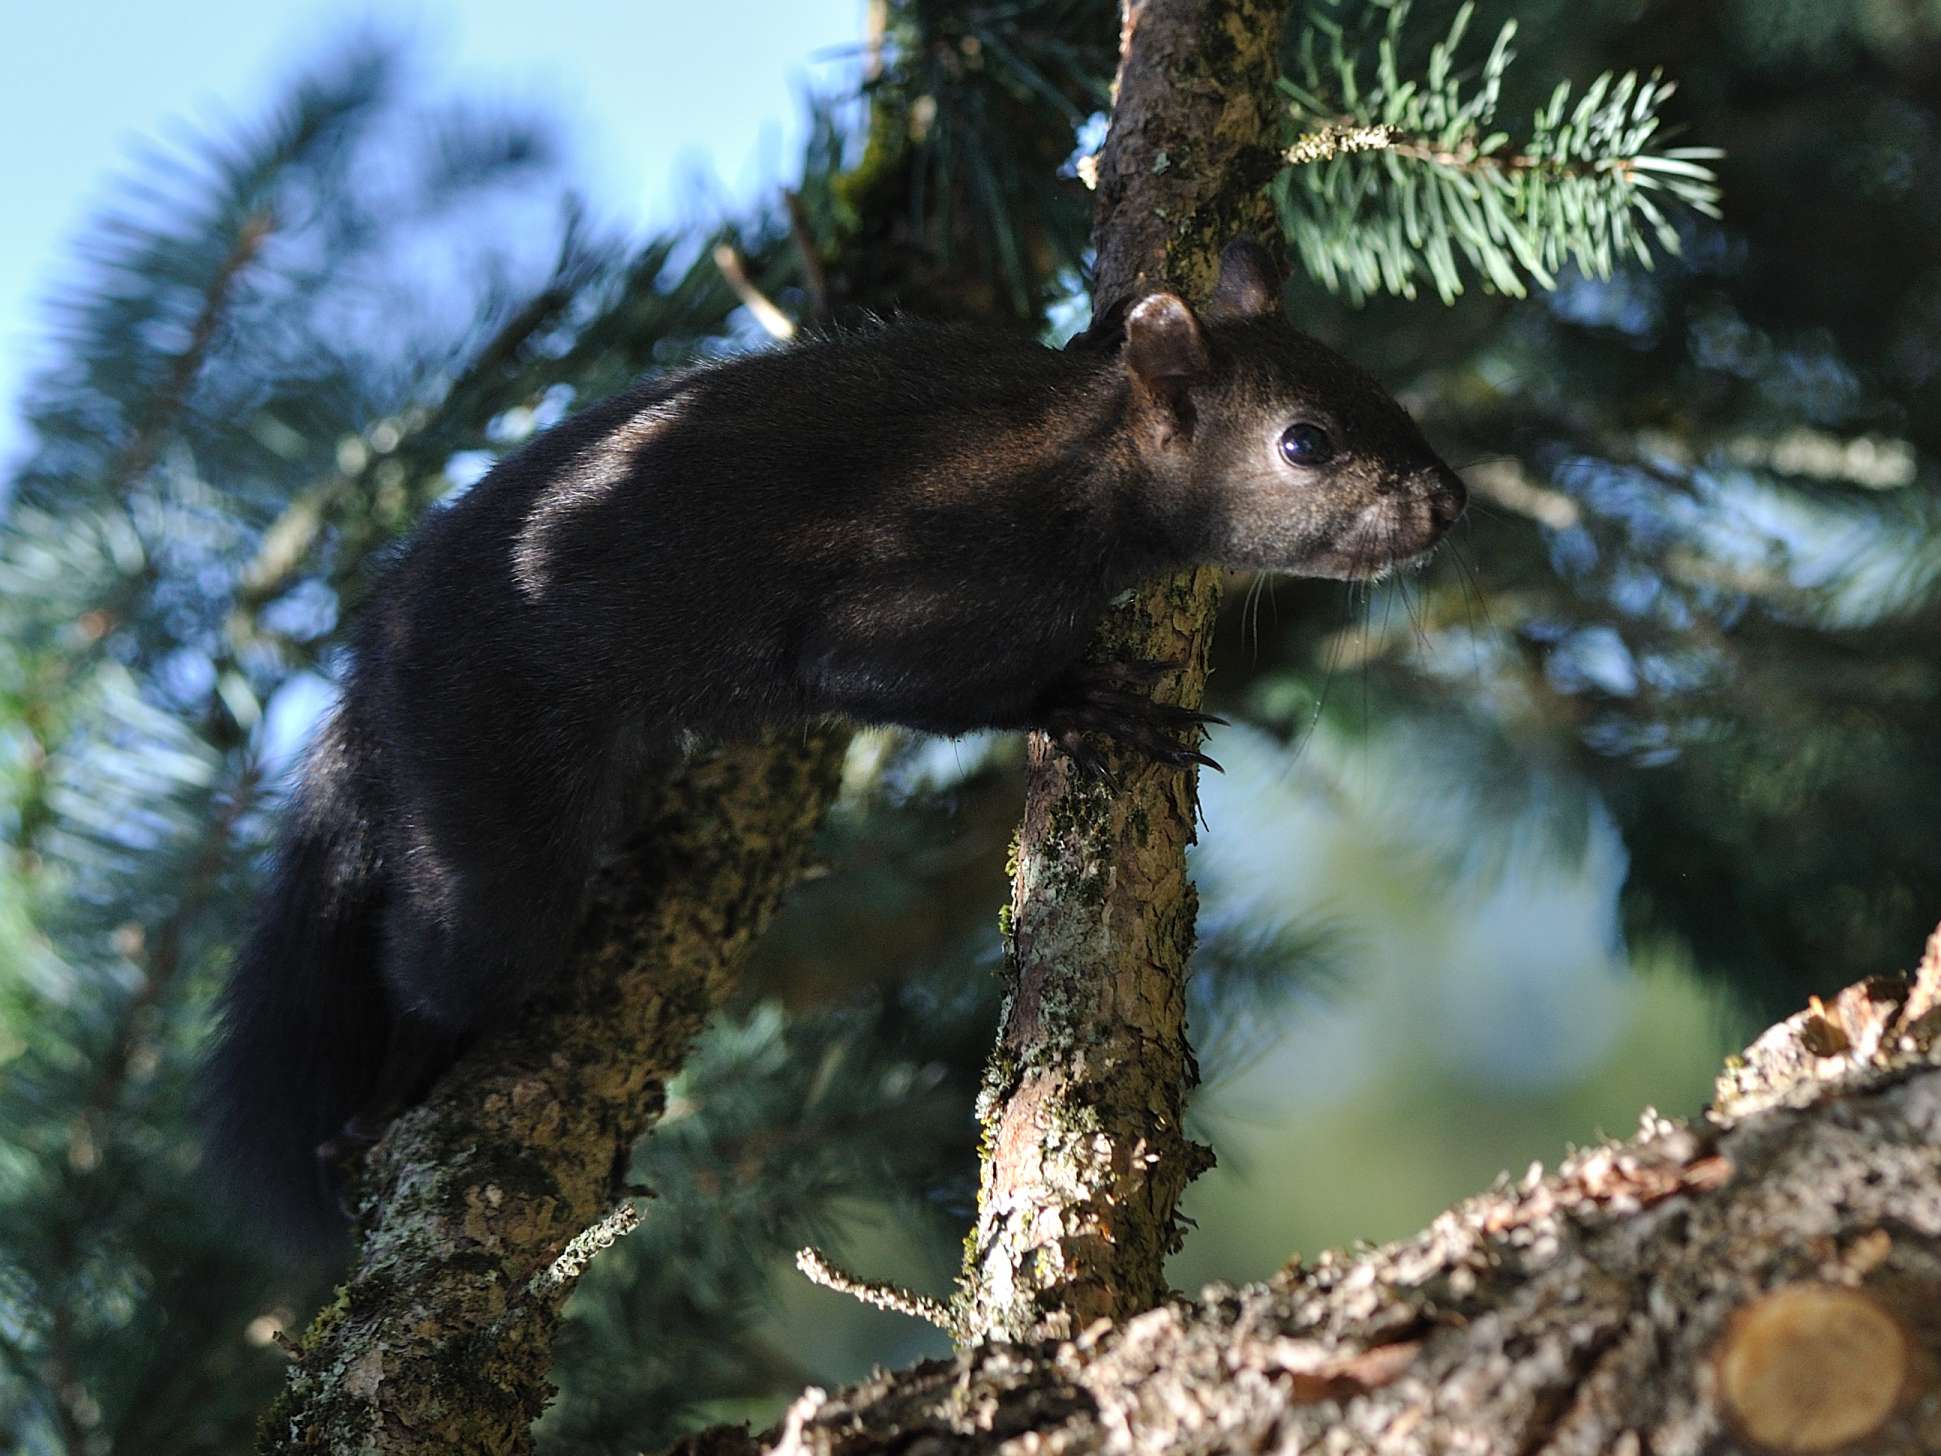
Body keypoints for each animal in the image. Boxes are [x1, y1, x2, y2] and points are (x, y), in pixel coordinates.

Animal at [204, 245, 1459, 1250]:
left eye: (1379, 387)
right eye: (1306, 441)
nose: (1448, 504)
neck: (1070, 451)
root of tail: (373, 667)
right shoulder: (918, 588)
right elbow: (897, 681)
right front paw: (1084, 702)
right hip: (488, 779)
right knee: (444, 956)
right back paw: (376, 1106)